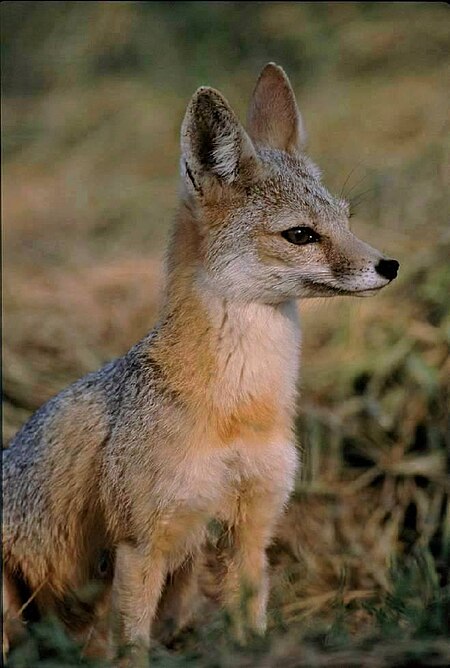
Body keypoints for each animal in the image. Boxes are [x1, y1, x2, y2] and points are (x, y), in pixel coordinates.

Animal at [2, 64, 398, 664]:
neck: (238, 408)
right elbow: (132, 646)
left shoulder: (252, 529)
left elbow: (250, 626)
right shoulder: (141, 542)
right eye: (301, 235)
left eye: (347, 220)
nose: (389, 265)